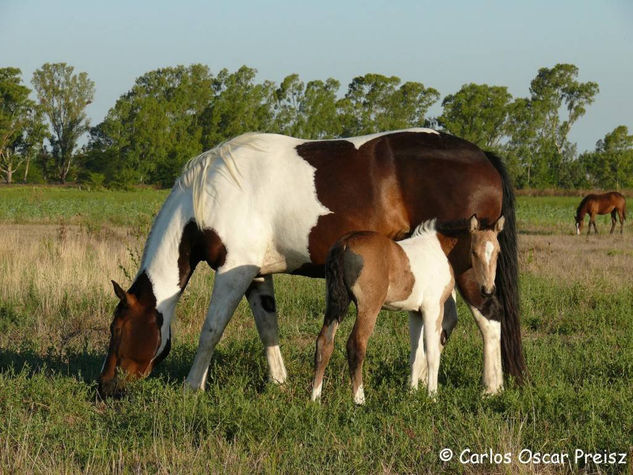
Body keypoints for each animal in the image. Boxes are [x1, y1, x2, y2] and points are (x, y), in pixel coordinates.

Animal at [312, 216, 504, 406]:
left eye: (498, 252)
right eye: (474, 252)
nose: (488, 290)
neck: (441, 252)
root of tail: (344, 244)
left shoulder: (415, 313)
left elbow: (416, 354)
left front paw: (412, 394)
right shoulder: (433, 308)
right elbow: (432, 353)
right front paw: (432, 396)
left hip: (336, 304)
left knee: (324, 343)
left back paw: (315, 398)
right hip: (369, 307)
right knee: (356, 344)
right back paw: (360, 400)